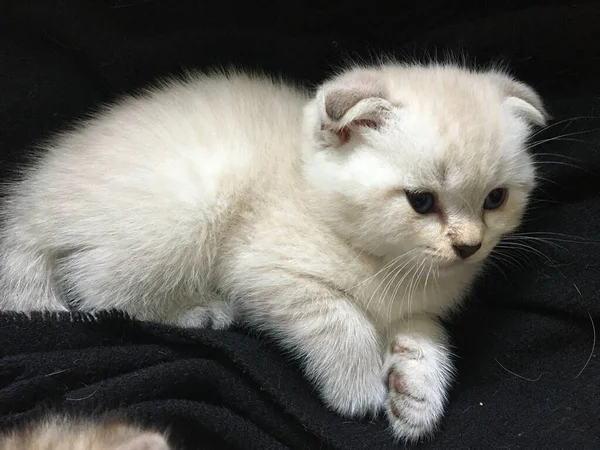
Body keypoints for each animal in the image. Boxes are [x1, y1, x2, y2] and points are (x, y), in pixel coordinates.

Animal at [0, 61, 548, 442]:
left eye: (495, 199)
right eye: (421, 201)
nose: (469, 245)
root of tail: (27, 205)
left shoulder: (419, 306)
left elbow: (427, 333)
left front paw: (416, 392)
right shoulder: (262, 270)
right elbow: (340, 318)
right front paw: (358, 388)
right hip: (191, 203)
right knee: (97, 288)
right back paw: (199, 312)